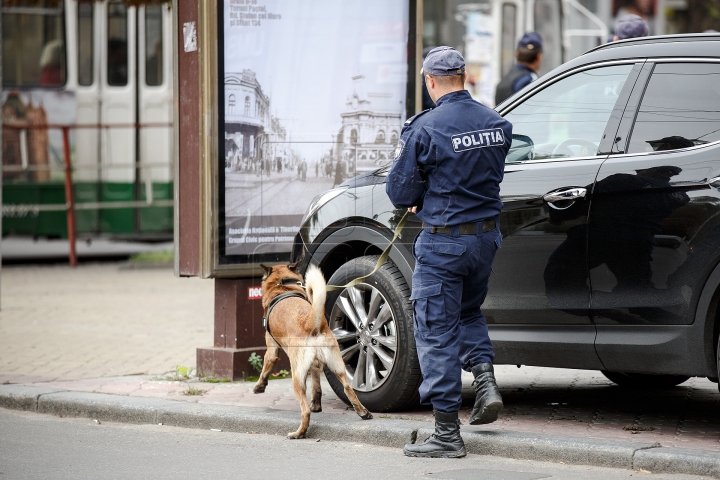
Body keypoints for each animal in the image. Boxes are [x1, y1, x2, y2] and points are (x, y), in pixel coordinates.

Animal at [253, 262, 374, 438]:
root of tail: (311, 324)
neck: (283, 286)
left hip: (297, 378)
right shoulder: (316, 365)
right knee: (348, 388)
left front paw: (259, 386)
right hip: (337, 367)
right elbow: (316, 386)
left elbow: (266, 368)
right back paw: (363, 412)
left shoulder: (271, 349)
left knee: (305, 411)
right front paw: (317, 405)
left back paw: (299, 433)